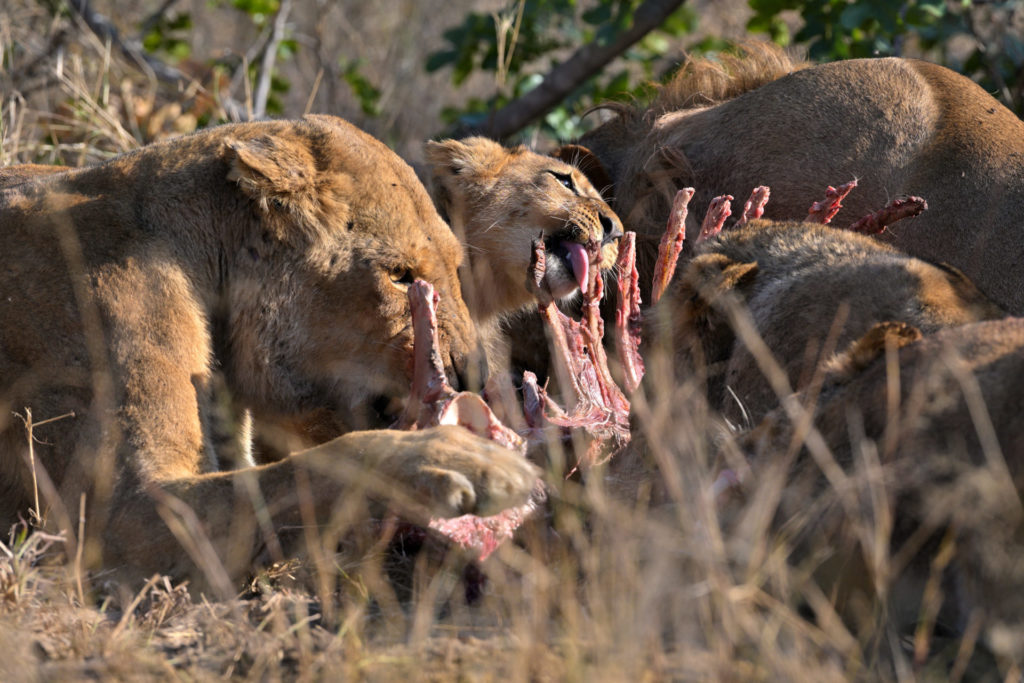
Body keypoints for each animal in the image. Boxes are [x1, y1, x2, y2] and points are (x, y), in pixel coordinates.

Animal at [0, 115, 538, 591]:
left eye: (457, 267)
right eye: (400, 276)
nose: (475, 374)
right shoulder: (109, 514)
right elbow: (319, 463)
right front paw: (464, 462)